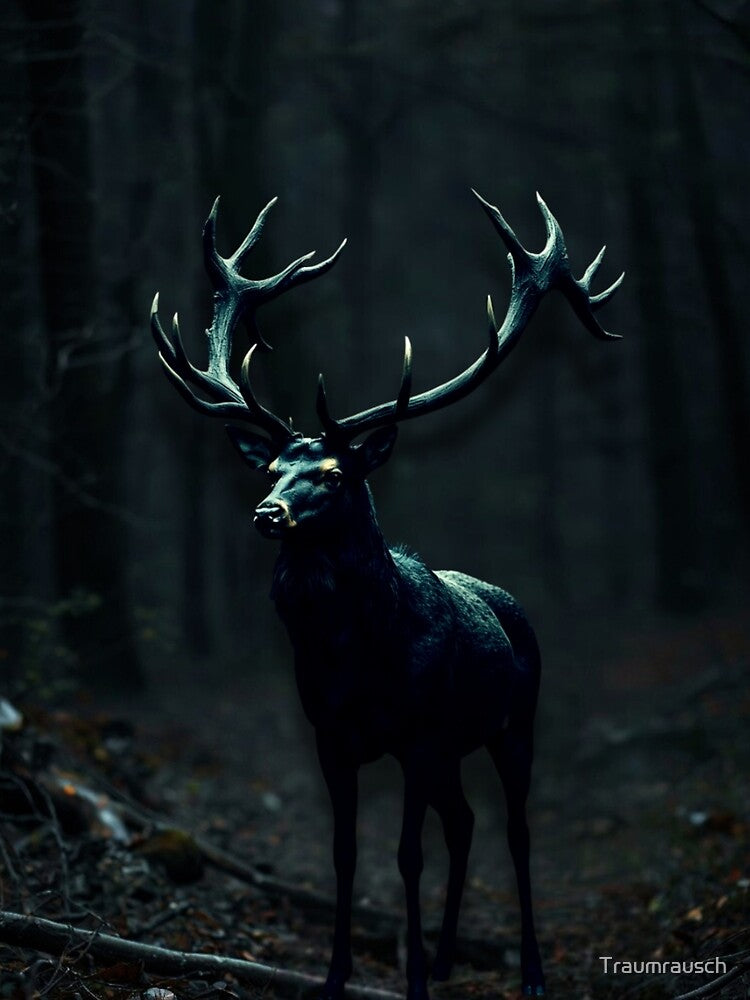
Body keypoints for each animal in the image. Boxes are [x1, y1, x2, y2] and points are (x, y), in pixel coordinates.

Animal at [150, 189, 622, 1000]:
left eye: (335, 474)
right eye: (269, 468)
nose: (267, 513)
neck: (352, 659)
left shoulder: (417, 736)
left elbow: (406, 856)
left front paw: (415, 986)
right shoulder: (333, 737)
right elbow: (345, 854)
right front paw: (339, 976)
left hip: (513, 726)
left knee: (513, 831)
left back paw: (528, 970)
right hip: (455, 750)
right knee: (464, 823)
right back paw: (446, 954)